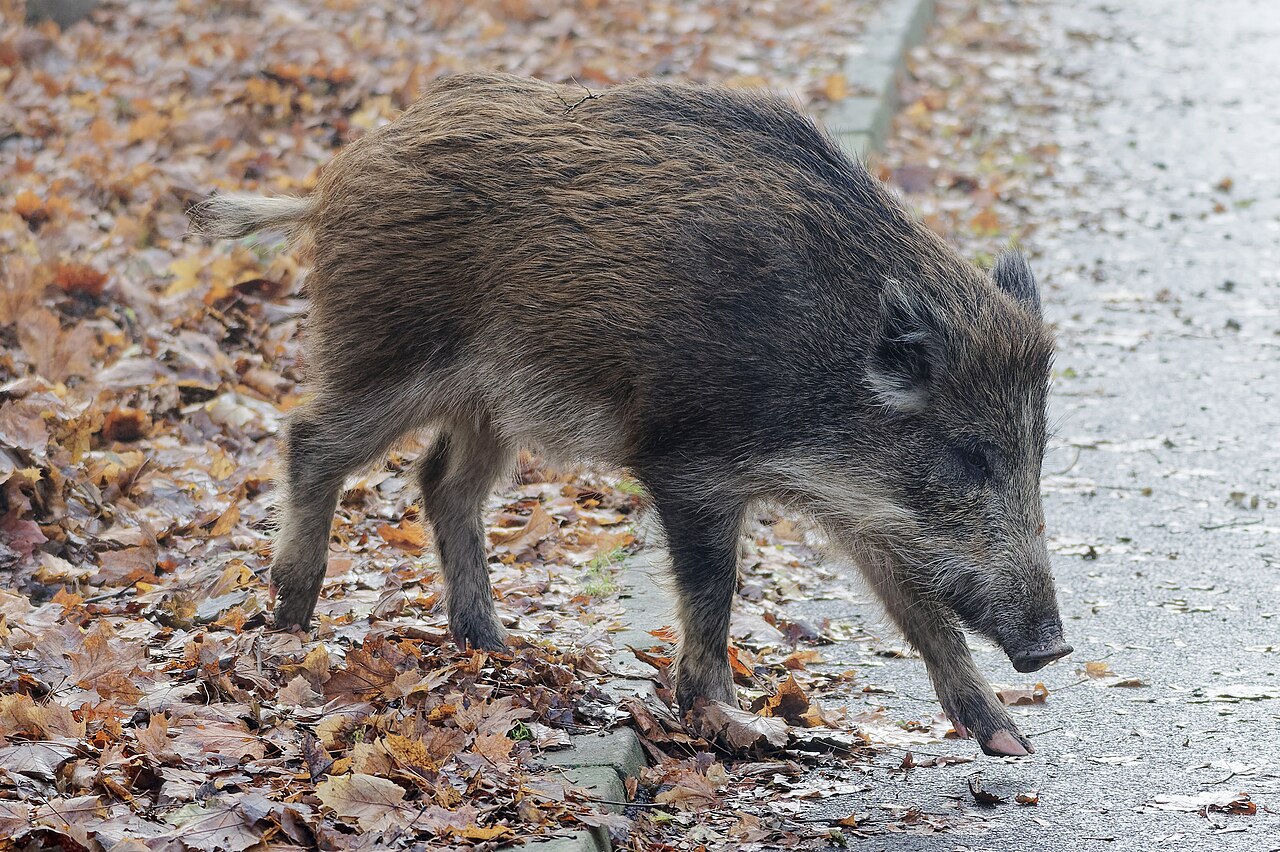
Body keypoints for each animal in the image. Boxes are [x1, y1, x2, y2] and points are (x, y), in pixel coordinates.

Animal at [194, 72, 1072, 757]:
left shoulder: (869, 512)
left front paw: (1010, 742)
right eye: (966, 455)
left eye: (1036, 453)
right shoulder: (691, 464)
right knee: (311, 438)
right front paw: (736, 725)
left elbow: (922, 613)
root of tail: (330, 182)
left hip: (489, 405)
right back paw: (290, 621)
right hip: (386, 355)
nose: (1054, 647)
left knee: (442, 481)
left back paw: (492, 644)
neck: (825, 367)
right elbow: (713, 591)